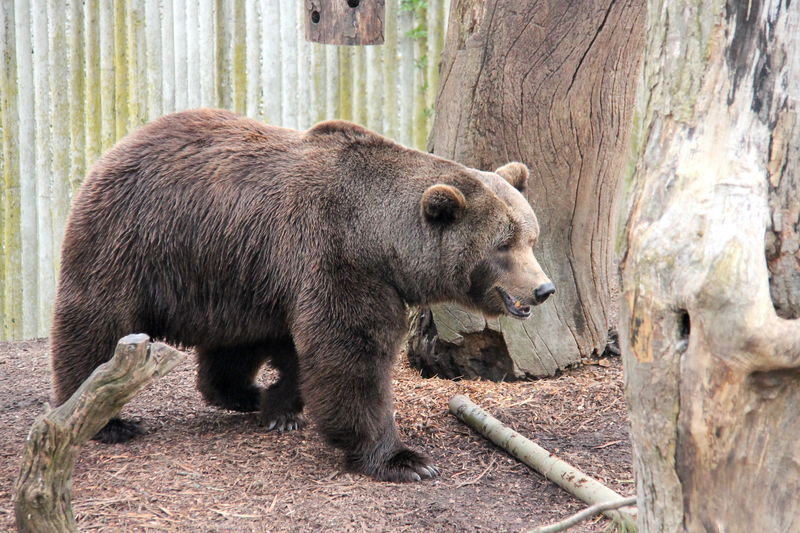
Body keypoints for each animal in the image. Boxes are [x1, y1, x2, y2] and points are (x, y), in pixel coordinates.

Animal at [48, 109, 552, 482]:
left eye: (531, 236)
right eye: (503, 245)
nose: (543, 288)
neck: (382, 240)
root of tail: (116, 147)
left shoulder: (294, 273)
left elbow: (304, 352)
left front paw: (283, 409)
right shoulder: (337, 258)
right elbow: (350, 354)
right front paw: (403, 458)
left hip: (232, 272)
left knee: (234, 343)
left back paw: (242, 393)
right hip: (134, 240)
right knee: (99, 323)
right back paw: (104, 417)